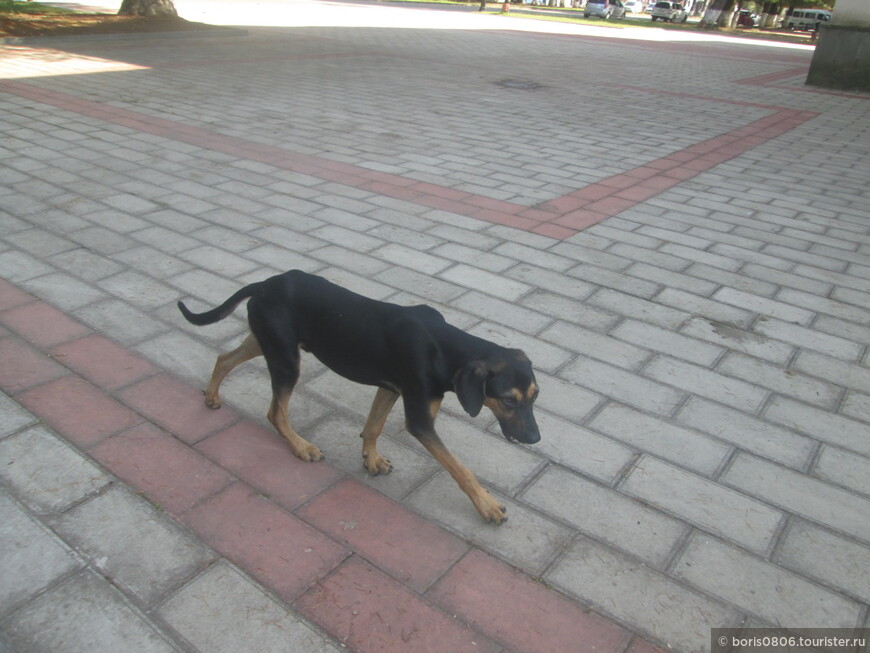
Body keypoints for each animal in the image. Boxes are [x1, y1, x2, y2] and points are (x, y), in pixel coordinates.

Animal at [179, 270, 540, 524]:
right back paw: (300, 446)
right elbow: (459, 468)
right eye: (508, 400)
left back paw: (211, 395)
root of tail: (264, 284)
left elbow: (373, 426)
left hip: (269, 341)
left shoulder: (390, 387)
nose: (535, 439)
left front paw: (371, 458)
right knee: (275, 412)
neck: (443, 347)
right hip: (285, 359)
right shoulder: (420, 420)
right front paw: (487, 504)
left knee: (224, 358)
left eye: (535, 396)